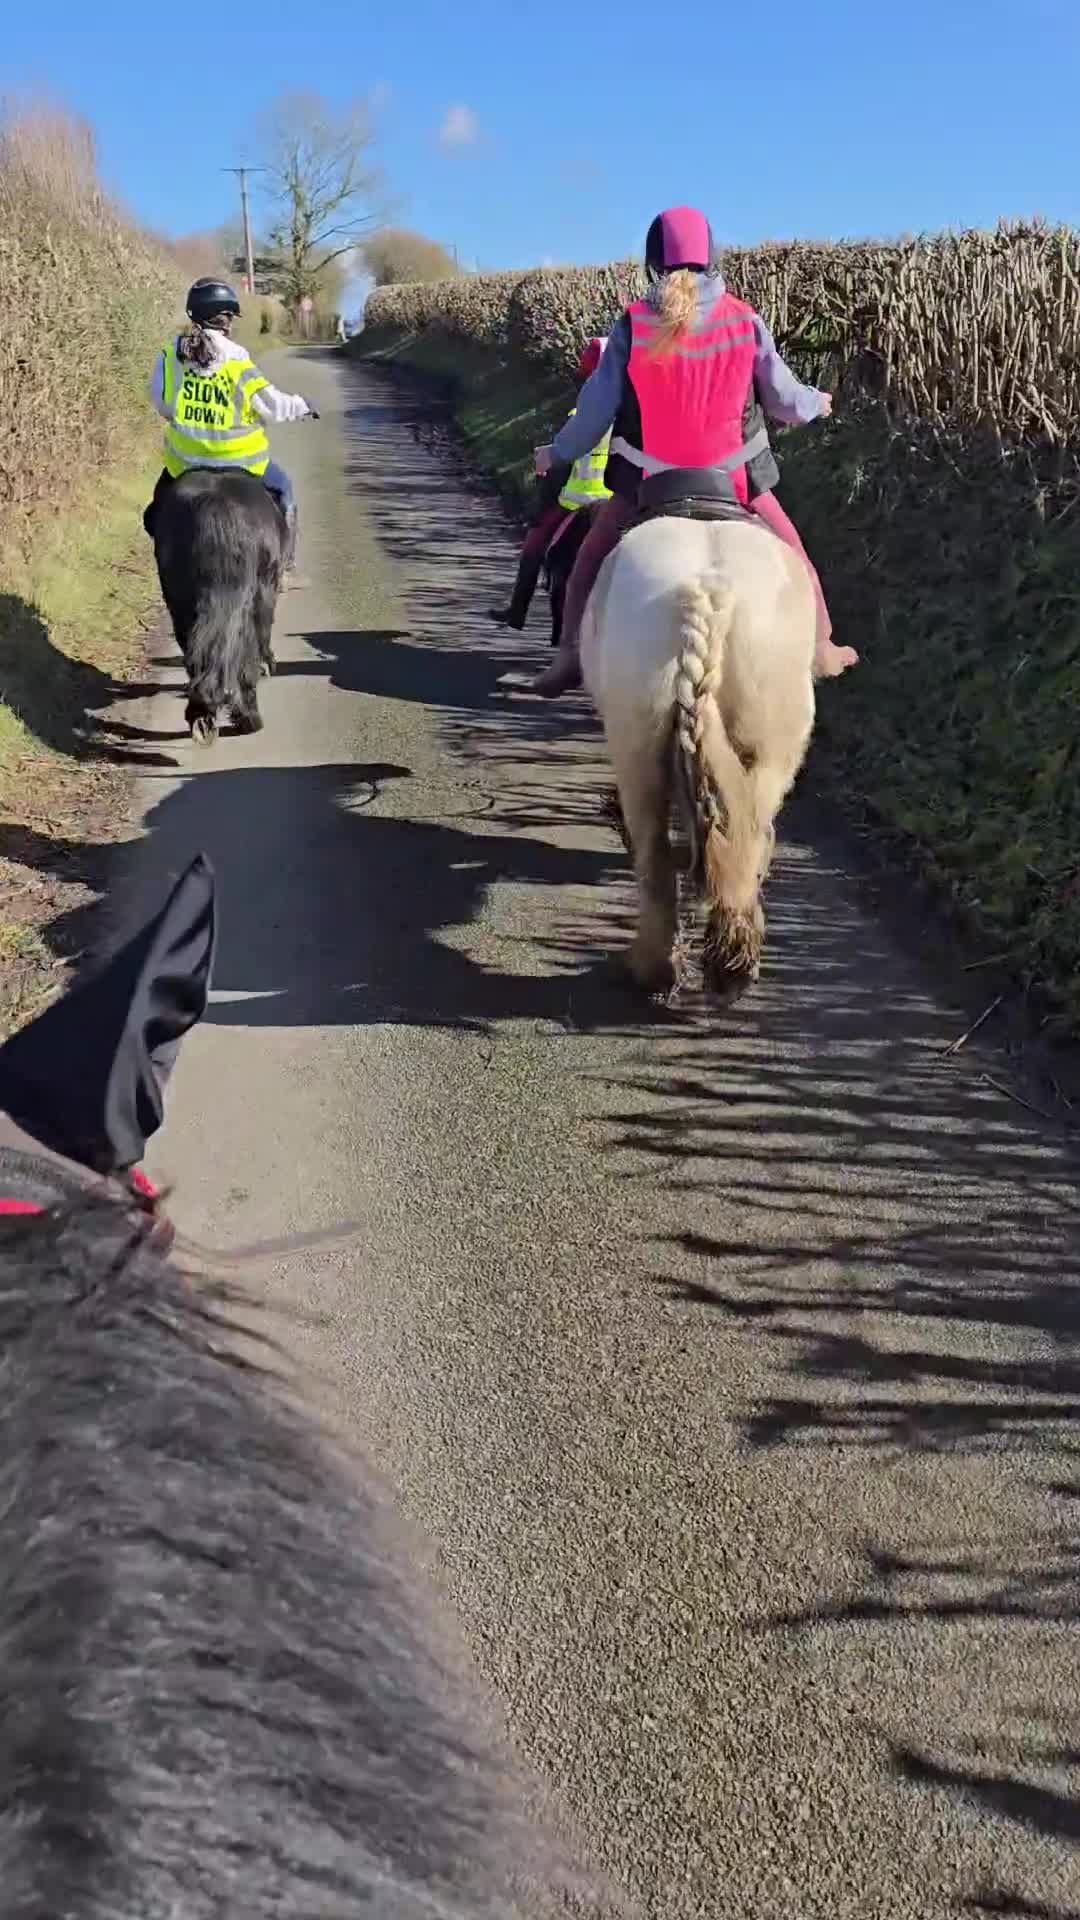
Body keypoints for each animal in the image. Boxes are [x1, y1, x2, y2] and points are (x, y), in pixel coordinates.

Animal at [580, 497, 817, 999]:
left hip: (638, 739)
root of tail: (709, 597)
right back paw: (729, 963)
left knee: (657, 848)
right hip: (766, 740)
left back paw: (661, 967)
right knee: (747, 833)